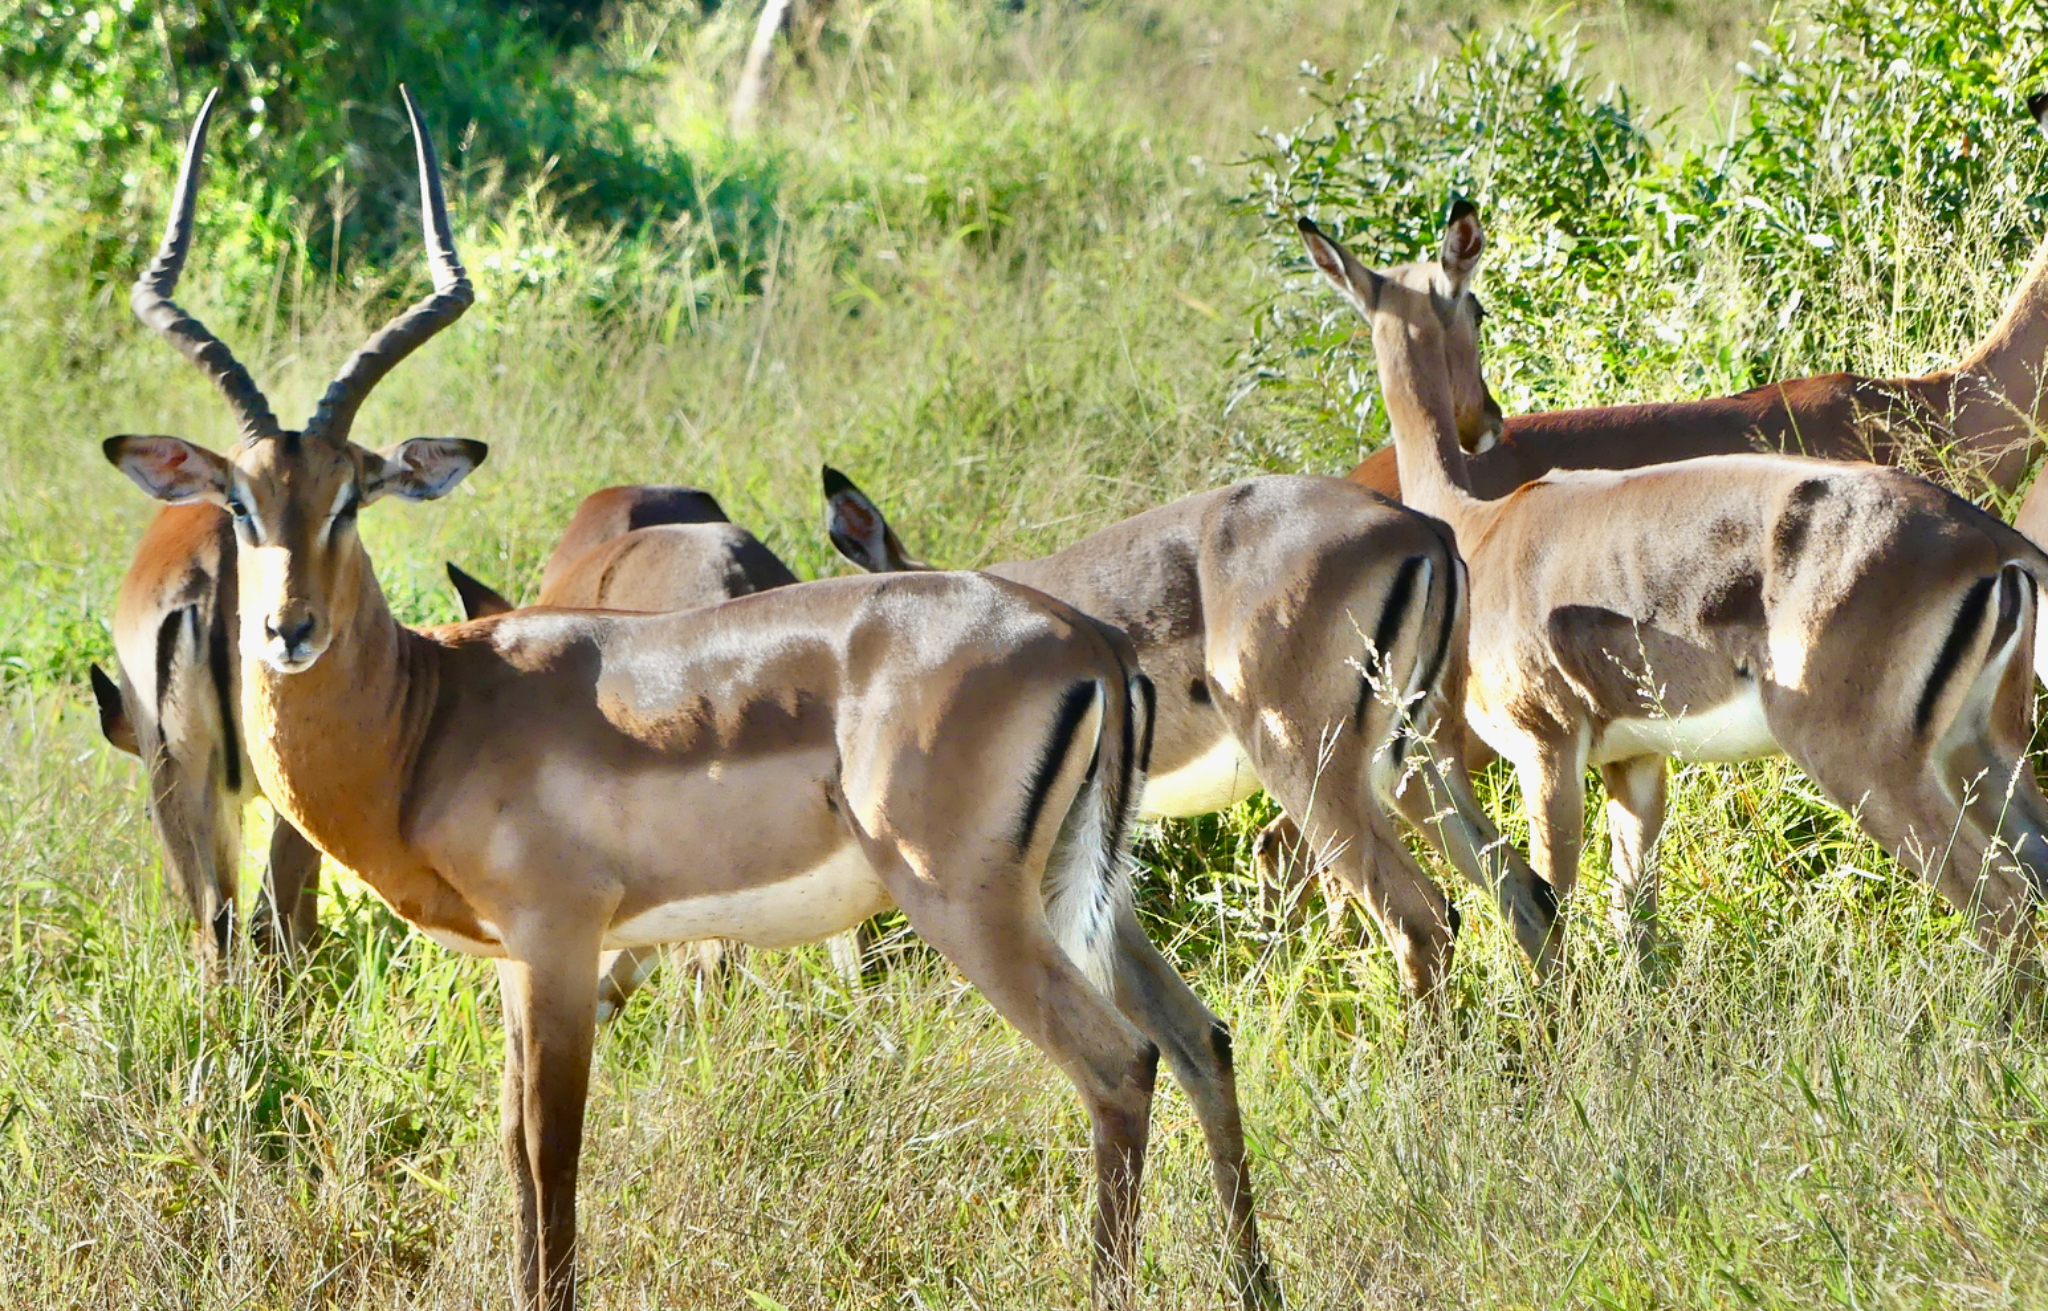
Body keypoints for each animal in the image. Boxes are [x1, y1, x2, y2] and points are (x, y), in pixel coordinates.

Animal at [103, 88, 1277, 1310]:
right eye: (242, 501)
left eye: (350, 498)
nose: (287, 629)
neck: (434, 713)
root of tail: (1090, 642)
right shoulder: (523, 964)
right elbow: (517, 1159)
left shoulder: (561, 945)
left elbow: (553, 1156)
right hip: (1080, 892)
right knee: (1202, 1040)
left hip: (970, 903)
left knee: (1118, 1065)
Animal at [1302, 206, 2048, 973]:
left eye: (1476, 306)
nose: (1486, 418)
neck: (1479, 524)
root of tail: (1992, 543)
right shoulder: (1631, 762)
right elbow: (1633, 926)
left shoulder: (1547, 752)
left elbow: (1552, 906)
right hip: (1979, 750)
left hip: (1874, 768)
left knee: (2004, 909)